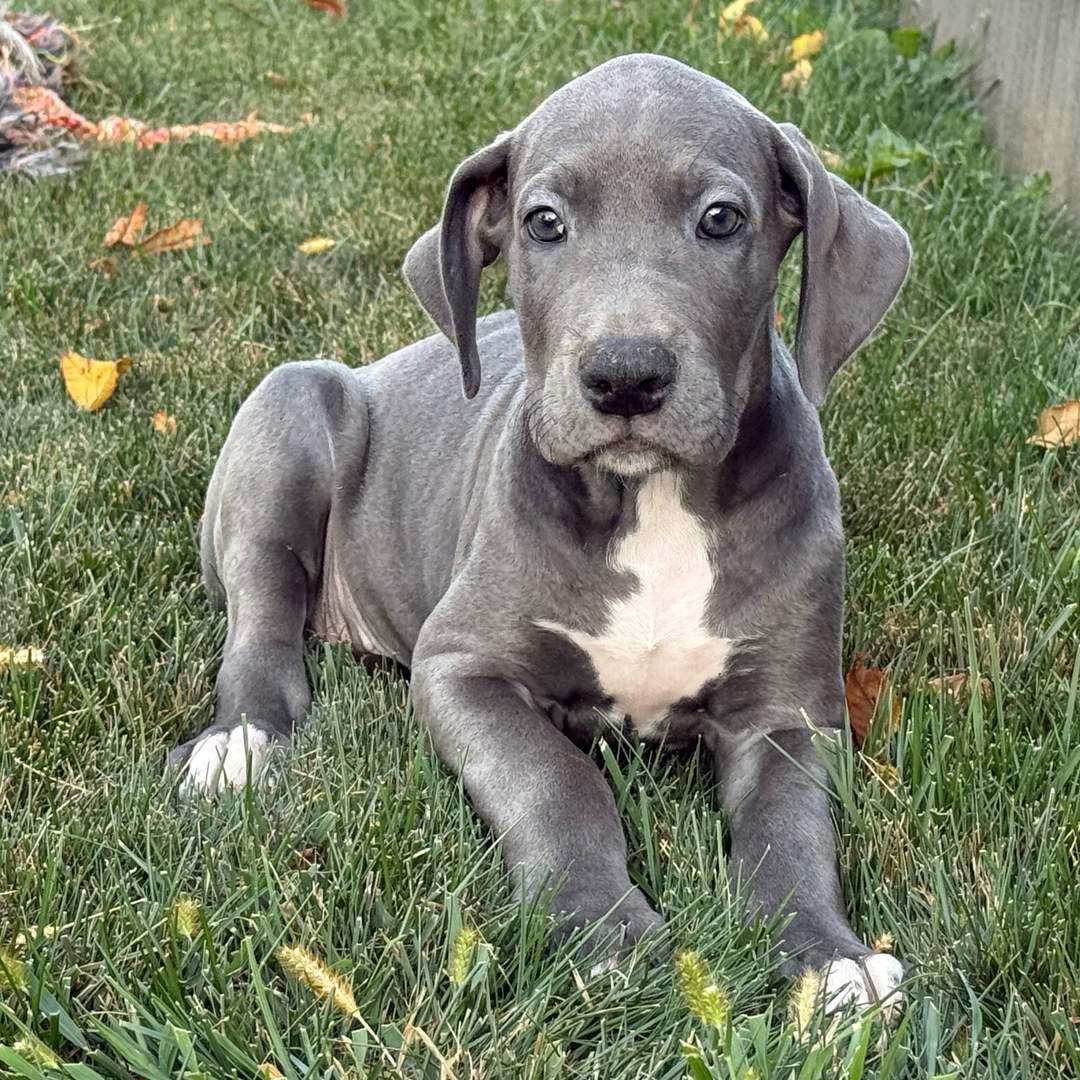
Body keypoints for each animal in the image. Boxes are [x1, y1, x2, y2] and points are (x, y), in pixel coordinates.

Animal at [169, 53, 911, 1010]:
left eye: (721, 218)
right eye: (544, 222)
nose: (626, 375)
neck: (650, 504)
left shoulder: (789, 712)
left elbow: (792, 829)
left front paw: (830, 961)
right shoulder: (461, 667)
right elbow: (557, 781)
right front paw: (602, 929)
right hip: (289, 411)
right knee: (261, 607)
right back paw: (240, 741)